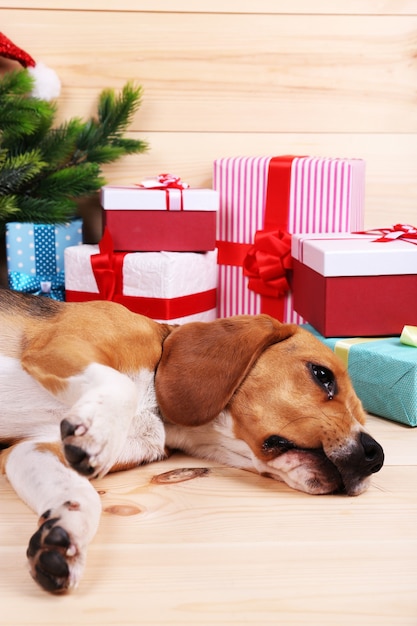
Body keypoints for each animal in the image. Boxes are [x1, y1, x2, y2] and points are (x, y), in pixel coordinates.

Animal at [0, 288, 384, 588]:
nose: (375, 455)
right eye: (322, 375)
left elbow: (81, 496)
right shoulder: (59, 346)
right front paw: (101, 432)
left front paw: (64, 538)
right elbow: (120, 384)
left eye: (363, 418)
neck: (157, 410)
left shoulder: (31, 449)